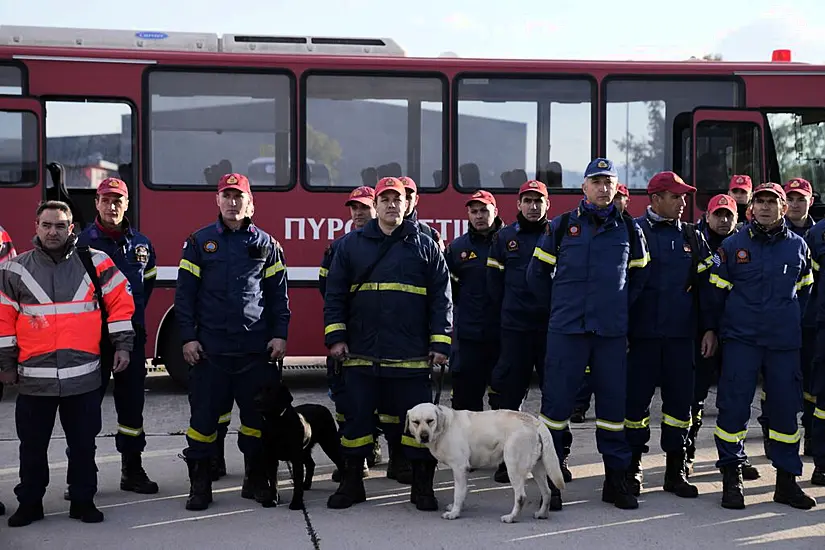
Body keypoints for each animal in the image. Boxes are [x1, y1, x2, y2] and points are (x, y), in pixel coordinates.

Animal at [251, 382, 342, 512]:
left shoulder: (295, 457)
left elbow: (297, 483)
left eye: (270, 391)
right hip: (305, 450)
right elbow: (273, 482)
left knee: (340, 462)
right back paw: (307, 484)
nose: (256, 400)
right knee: (311, 464)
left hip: (329, 443)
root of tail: (321, 407)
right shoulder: (270, 457)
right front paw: (272, 500)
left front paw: (296, 503)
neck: (277, 423)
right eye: (258, 390)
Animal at [408, 404, 568, 524]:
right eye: (415, 422)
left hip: (513, 466)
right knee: (547, 492)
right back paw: (542, 514)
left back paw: (511, 517)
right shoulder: (463, 471)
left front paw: (454, 513)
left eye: (430, 420)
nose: (423, 436)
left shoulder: (459, 468)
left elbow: (458, 493)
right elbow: (463, 491)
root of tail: (534, 421)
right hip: (538, 468)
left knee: (521, 497)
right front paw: (456, 508)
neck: (445, 425)